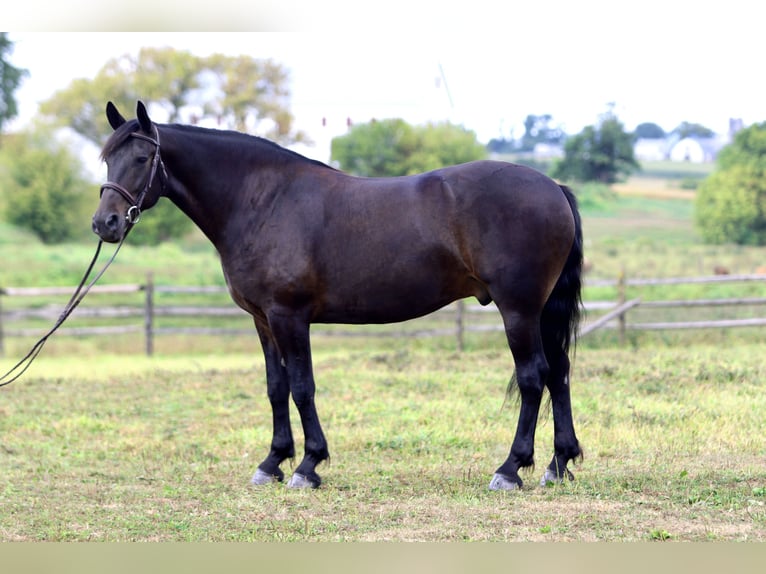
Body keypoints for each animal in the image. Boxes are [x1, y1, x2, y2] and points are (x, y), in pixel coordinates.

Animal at [92, 101, 584, 491]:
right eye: (106, 158)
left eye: (142, 157)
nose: (105, 224)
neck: (261, 200)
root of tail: (553, 187)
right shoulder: (262, 319)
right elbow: (275, 387)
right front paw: (272, 462)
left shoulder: (289, 316)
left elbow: (302, 386)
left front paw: (308, 465)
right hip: (539, 311)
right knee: (559, 371)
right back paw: (558, 464)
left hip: (518, 309)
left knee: (533, 376)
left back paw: (510, 469)